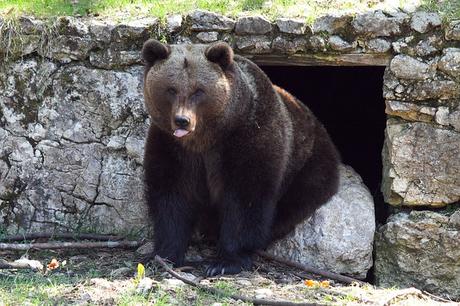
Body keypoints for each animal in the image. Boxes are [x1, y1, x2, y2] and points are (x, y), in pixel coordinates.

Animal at [142, 39, 340, 276]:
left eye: (199, 91)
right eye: (171, 89)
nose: (182, 120)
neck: (207, 139)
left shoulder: (249, 136)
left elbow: (245, 197)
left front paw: (224, 262)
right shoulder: (171, 146)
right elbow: (171, 195)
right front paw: (163, 255)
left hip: (309, 163)